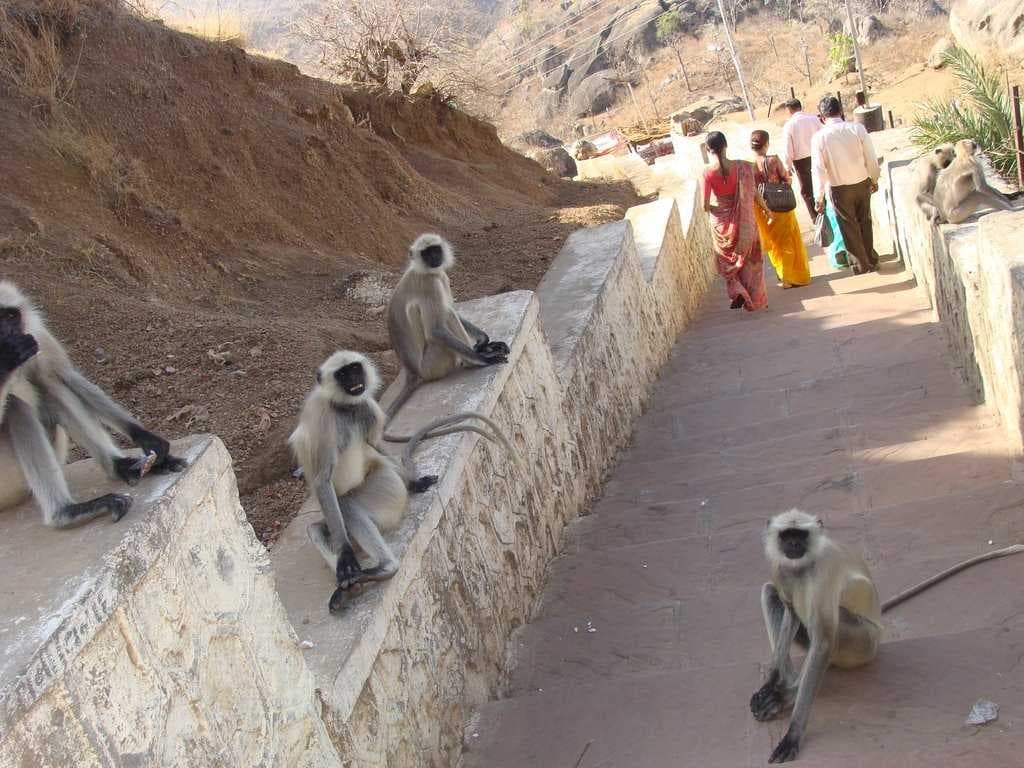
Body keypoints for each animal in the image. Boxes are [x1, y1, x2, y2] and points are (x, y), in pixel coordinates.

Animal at [0, 281, 187, 528]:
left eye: (10, 316)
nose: (9, 334)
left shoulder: (35, 333)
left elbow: (63, 376)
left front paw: (146, 438)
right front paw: (6, 360)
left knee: (52, 387)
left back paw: (121, 467)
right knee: (15, 406)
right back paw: (66, 512)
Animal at [289, 350, 516, 614]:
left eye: (354, 369)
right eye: (342, 374)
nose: (355, 381)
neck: (344, 408)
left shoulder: (366, 407)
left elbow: (374, 444)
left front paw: (415, 483)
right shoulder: (324, 421)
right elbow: (322, 480)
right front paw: (345, 555)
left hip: (386, 485)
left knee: (347, 504)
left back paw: (385, 567)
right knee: (318, 527)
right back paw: (353, 585)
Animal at [385, 233, 510, 422]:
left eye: (435, 250)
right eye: (426, 254)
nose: (434, 258)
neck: (424, 271)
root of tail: (413, 372)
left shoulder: (441, 276)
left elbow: (451, 307)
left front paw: (483, 342)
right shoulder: (430, 284)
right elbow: (435, 330)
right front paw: (483, 358)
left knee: (448, 311)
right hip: (433, 364)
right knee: (447, 315)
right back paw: (471, 361)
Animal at [751, 509, 1024, 763]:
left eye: (800, 535)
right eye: (787, 536)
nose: (793, 545)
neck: (802, 568)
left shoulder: (823, 571)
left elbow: (824, 640)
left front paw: (793, 734)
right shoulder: (781, 568)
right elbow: (790, 613)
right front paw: (771, 683)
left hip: (863, 643)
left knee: (827, 630)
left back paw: (787, 694)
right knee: (771, 593)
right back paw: (784, 684)